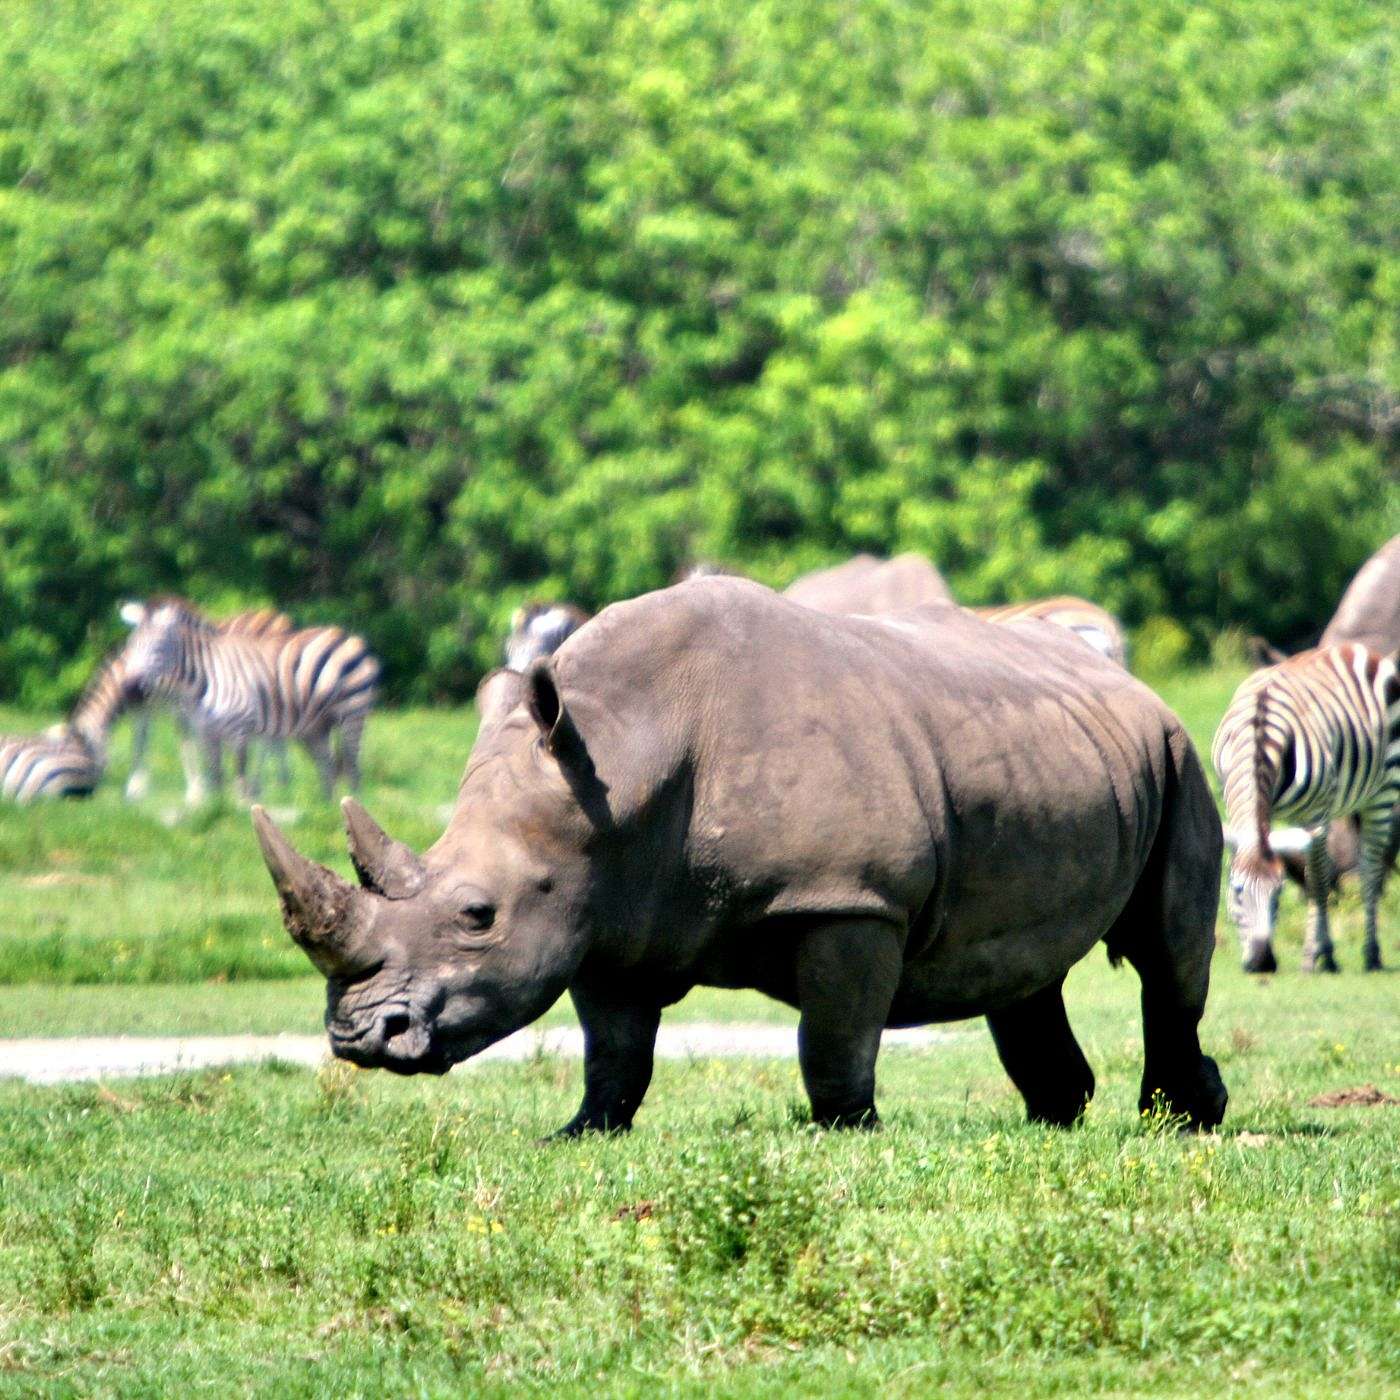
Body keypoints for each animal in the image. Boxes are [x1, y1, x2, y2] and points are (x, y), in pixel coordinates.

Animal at [119, 598, 380, 802]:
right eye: (131, 645)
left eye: (158, 648)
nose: (131, 690)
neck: (204, 678)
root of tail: (346, 635)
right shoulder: (206, 733)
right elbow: (216, 775)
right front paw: (216, 809)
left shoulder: (239, 729)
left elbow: (239, 776)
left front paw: (241, 812)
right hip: (316, 727)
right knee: (327, 766)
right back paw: (326, 809)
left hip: (352, 711)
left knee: (352, 767)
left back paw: (352, 806)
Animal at [253, 577, 1226, 1133]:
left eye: (476, 915)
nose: (357, 1037)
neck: (623, 758)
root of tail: (1129, 680)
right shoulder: (605, 909)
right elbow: (614, 1051)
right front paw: (581, 1133)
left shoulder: (849, 898)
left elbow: (833, 1038)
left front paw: (843, 1132)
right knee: (1026, 973)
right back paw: (1057, 1121)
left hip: (1179, 753)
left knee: (1165, 957)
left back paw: (1180, 1123)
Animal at [1212, 643, 1400, 974]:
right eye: (1236, 892)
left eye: (1278, 893)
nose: (1262, 963)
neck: (1258, 733)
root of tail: (1353, 648)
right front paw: (1324, 953)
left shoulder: (1314, 816)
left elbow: (1317, 881)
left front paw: (1314, 954)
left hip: (1382, 791)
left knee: (1370, 868)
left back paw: (1371, 953)